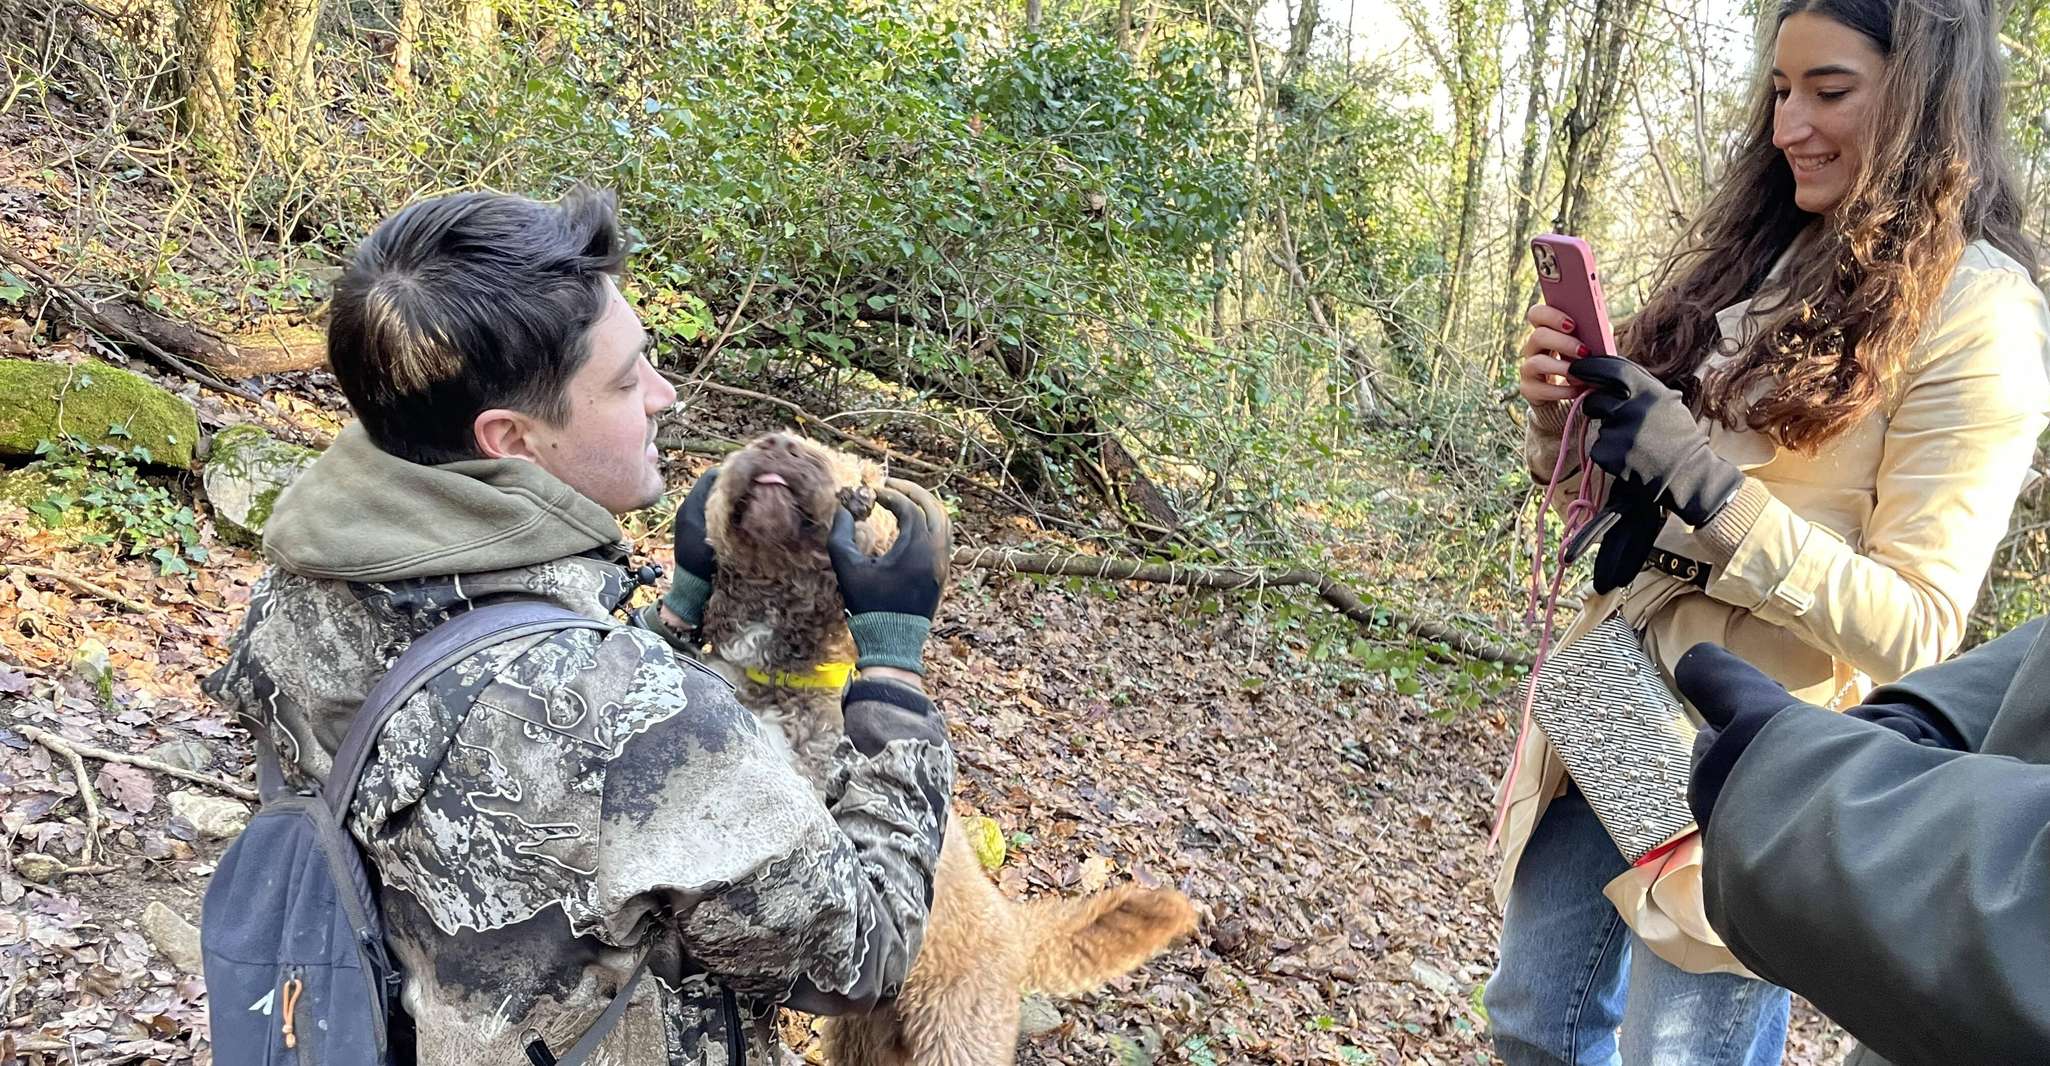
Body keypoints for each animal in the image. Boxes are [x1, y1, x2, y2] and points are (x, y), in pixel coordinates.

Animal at [701, 432, 1197, 1066]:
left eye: (852, 468)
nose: (779, 443)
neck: (781, 670)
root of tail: (1012, 927)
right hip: (861, 1041)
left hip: (956, 1038)